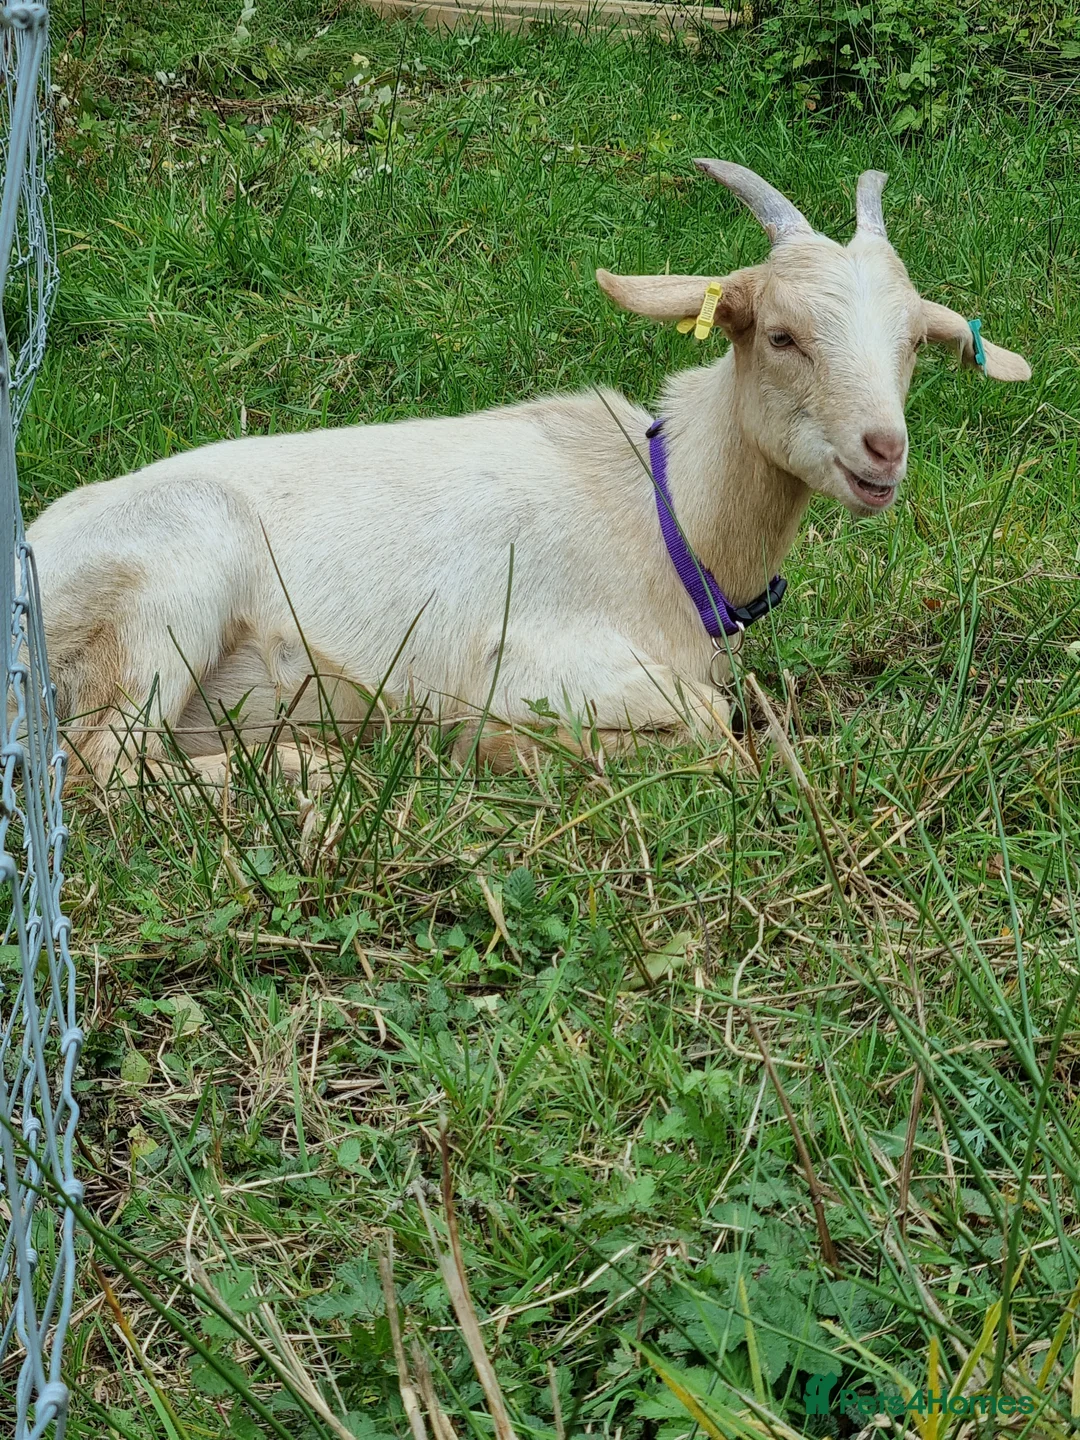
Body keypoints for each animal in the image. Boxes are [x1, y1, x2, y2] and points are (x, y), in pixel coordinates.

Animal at [28, 162, 1030, 784]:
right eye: (780, 335)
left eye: (913, 343)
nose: (883, 450)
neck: (664, 515)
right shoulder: (525, 659)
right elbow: (712, 728)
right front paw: (501, 750)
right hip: (168, 587)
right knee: (100, 765)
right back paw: (311, 769)